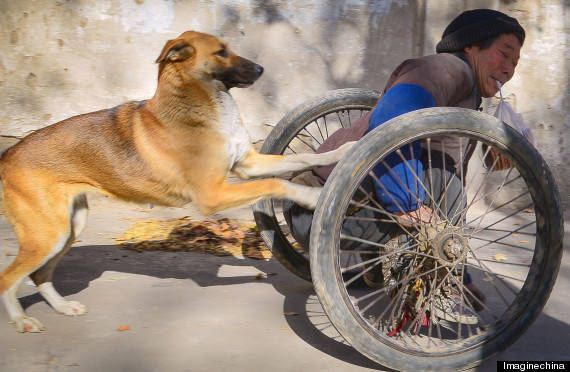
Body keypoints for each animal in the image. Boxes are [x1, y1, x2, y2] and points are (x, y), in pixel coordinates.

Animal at [0, 31, 352, 332]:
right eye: (221, 52)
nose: (261, 69)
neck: (202, 105)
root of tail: (8, 155)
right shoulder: (213, 194)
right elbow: (276, 184)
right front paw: (311, 196)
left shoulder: (247, 165)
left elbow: (301, 159)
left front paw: (343, 150)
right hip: (48, 235)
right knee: (9, 278)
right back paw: (21, 320)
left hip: (70, 227)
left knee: (40, 275)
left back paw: (62, 307)